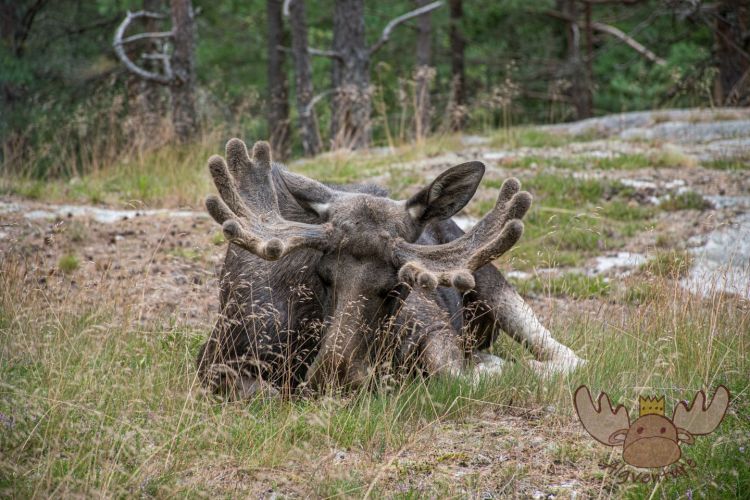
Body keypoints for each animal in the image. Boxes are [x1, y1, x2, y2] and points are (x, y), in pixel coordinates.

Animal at [197, 138, 585, 398]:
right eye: (323, 276)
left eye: (397, 286)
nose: (334, 374)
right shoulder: (214, 357)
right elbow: (266, 392)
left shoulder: (434, 325)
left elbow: (454, 375)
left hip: (490, 279)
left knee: (568, 356)